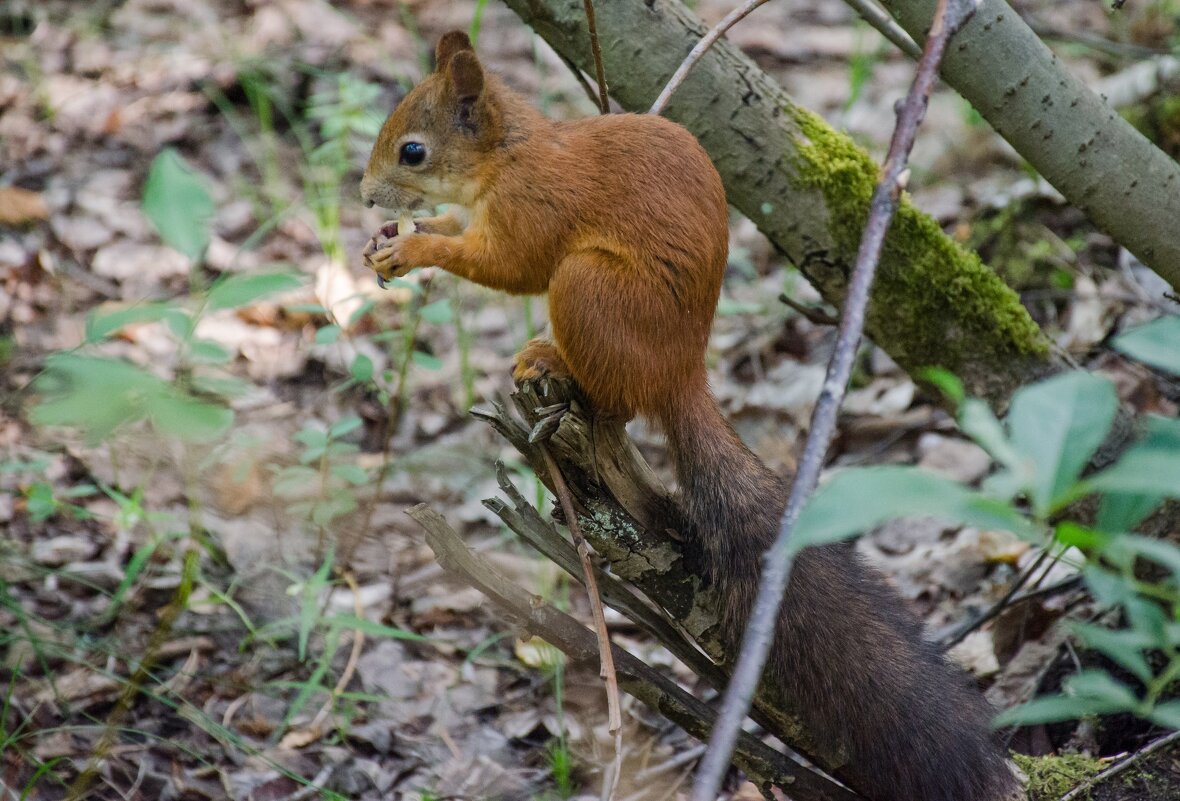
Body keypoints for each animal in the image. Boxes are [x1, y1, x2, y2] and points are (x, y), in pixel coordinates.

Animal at [356, 31, 1014, 801]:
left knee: (613, 395)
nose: (366, 196)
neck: (506, 156)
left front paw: (415, 245)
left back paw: (555, 365)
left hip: (590, 290)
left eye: (413, 151)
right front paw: (394, 238)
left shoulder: (534, 206)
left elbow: (510, 265)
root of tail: (681, 373)